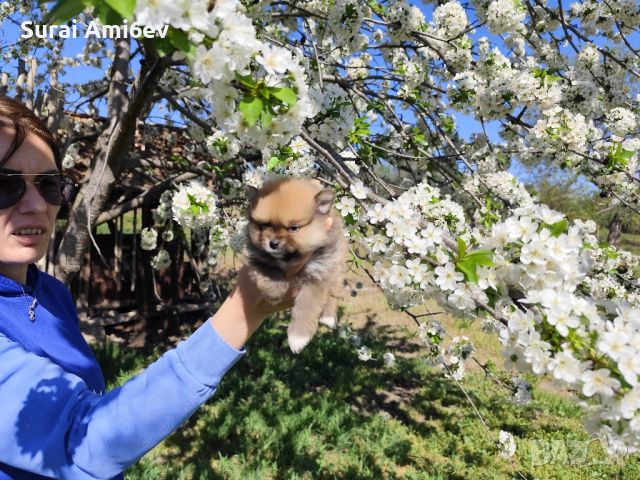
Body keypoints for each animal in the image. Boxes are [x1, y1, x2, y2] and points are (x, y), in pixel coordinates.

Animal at [245, 178, 348, 350]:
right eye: (264, 225)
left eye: (293, 228)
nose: (273, 243)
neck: (289, 258)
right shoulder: (254, 255)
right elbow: (270, 268)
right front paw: (275, 291)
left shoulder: (317, 274)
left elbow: (307, 305)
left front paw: (298, 337)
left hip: (335, 266)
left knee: (333, 292)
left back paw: (328, 316)